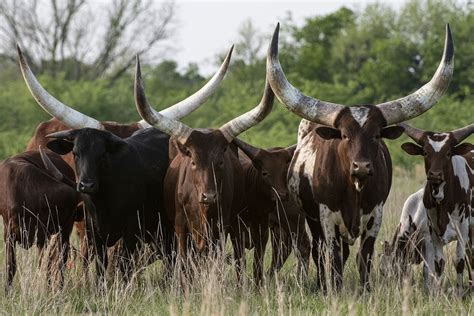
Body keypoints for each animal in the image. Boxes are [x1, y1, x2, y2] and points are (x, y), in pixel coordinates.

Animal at [0, 148, 80, 292]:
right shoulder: (9, 234)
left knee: (59, 260)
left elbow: (46, 265)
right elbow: (11, 267)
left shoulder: (43, 236)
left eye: (70, 211)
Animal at [133, 54, 274, 282]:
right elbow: (183, 259)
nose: (209, 196)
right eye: (193, 162)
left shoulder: (221, 226)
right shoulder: (180, 225)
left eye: (221, 161)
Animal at [232, 138, 312, 284]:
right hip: (279, 225)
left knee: (302, 247)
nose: (282, 195)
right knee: (282, 250)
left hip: (293, 221)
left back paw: (301, 280)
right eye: (265, 173)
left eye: (284, 172)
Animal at [266, 22, 456, 292]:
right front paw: (334, 289)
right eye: (344, 135)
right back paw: (322, 284)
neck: (354, 190)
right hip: (312, 220)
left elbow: (364, 256)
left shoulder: (375, 216)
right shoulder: (327, 218)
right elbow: (332, 256)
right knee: (318, 252)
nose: (362, 167)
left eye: (376, 135)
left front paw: (365, 290)